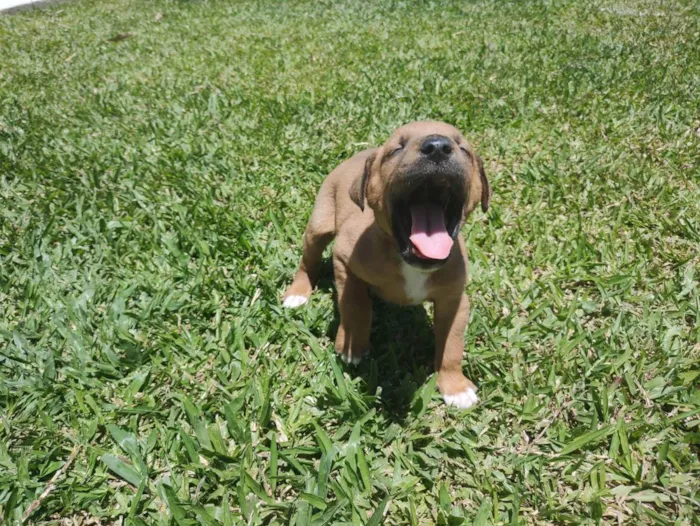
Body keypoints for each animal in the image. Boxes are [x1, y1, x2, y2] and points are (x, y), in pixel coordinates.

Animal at [282, 121, 490, 410]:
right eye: (396, 150)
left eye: (464, 149)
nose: (438, 146)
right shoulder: (343, 258)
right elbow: (355, 303)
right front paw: (352, 344)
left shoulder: (455, 300)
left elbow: (452, 344)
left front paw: (454, 386)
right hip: (319, 225)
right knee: (308, 260)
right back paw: (298, 293)